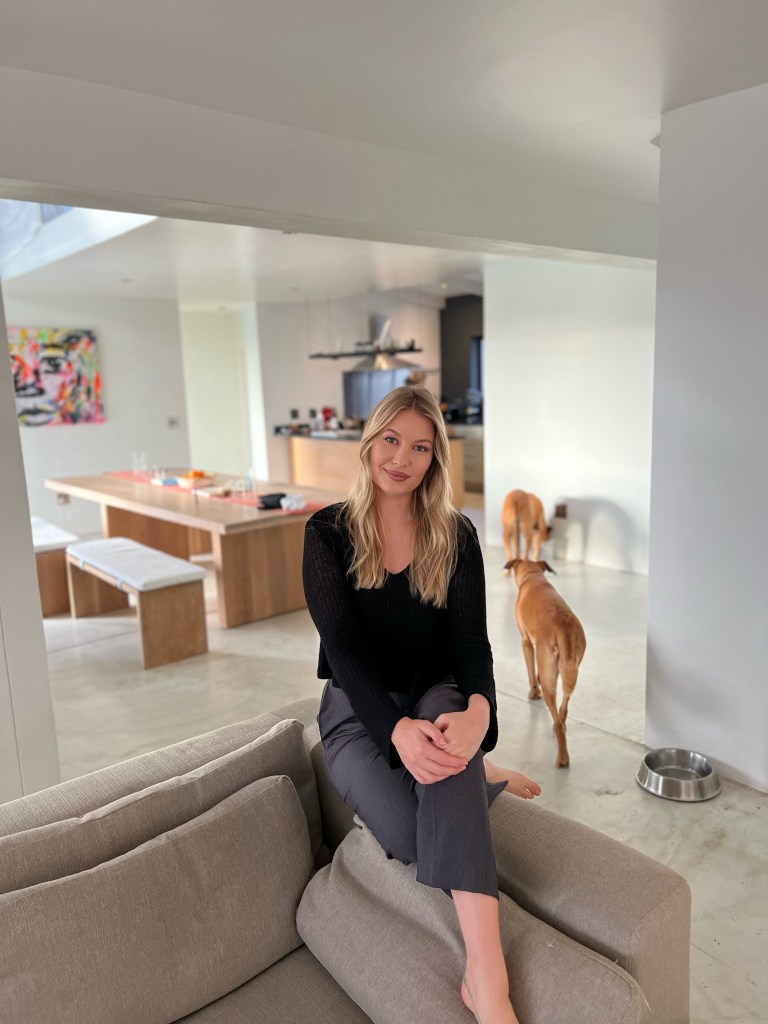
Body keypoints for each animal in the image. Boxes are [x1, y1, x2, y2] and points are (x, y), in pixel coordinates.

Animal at [504, 559, 586, 767]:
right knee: (563, 711)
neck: (533, 576)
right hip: (571, 669)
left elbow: (530, 671)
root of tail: (564, 626)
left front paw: (534, 692)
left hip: (549, 671)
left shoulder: (526, 642)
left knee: (558, 720)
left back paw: (562, 758)